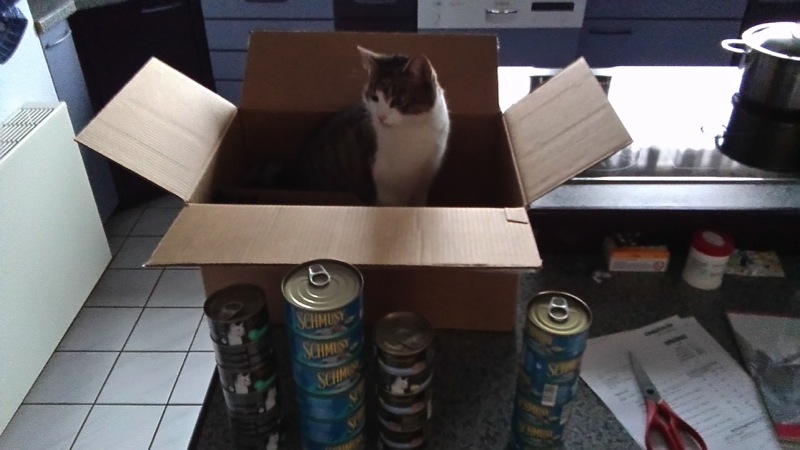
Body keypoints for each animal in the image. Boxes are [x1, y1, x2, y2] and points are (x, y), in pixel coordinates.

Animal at [269, 46, 450, 207]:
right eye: (374, 97)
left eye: (399, 101)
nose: (381, 117)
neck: (414, 128)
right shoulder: (387, 190)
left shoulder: (424, 181)